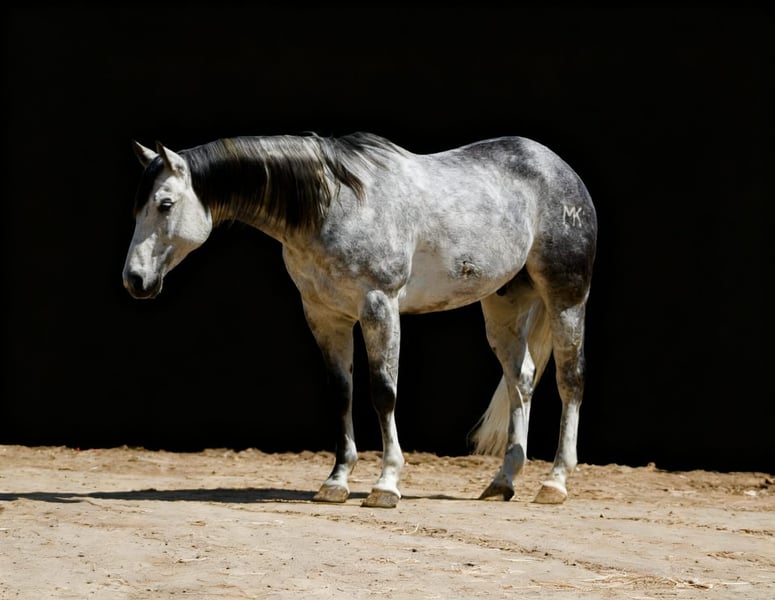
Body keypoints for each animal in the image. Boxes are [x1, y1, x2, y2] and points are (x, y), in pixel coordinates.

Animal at [122, 132, 597, 508]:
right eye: (137, 209)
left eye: (165, 204)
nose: (135, 280)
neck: (334, 204)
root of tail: (559, 169)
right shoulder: (324, 316)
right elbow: (341, 393)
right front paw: (336, 482)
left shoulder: (379, 306)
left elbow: (383, 392)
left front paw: (386, 484)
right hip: (504, 305)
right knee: (522, 380)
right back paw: (502, 482)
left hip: (565, 297)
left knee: (570, 380)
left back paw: (555, 483)